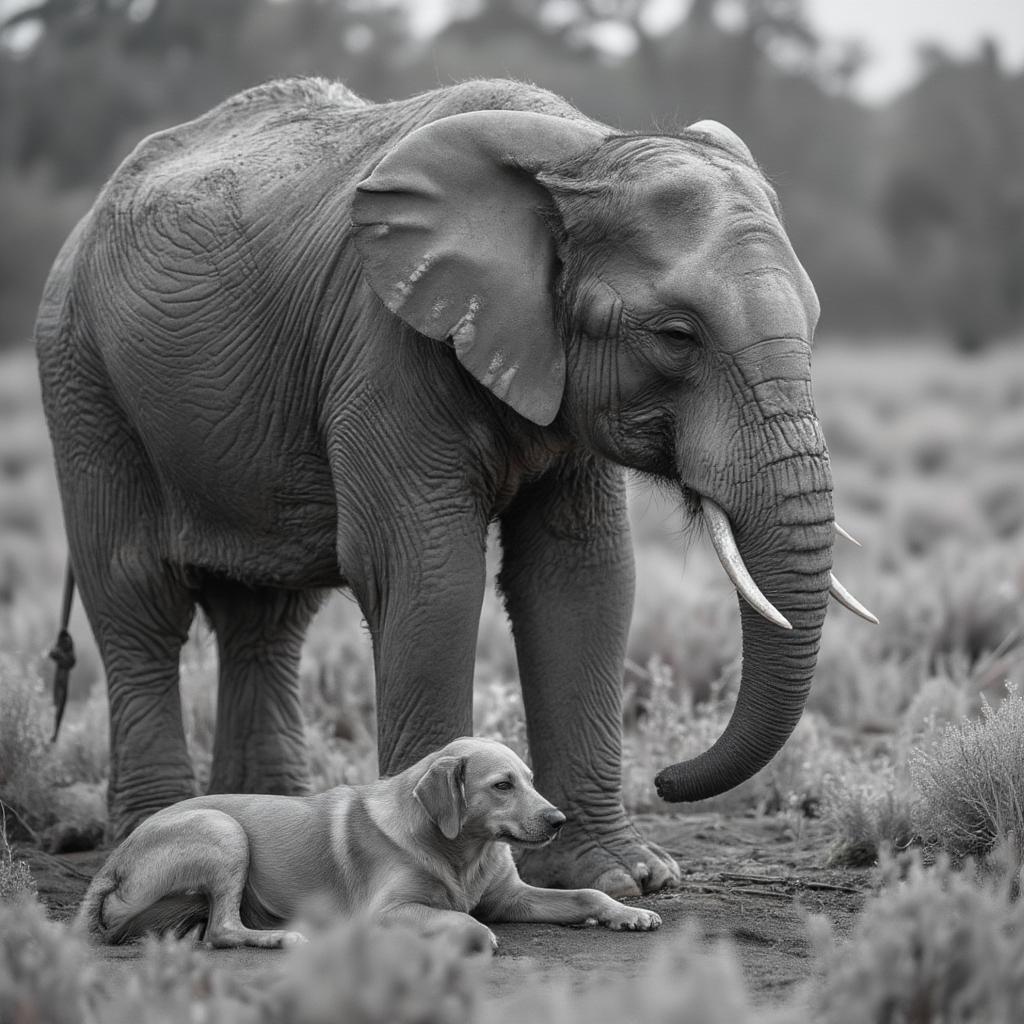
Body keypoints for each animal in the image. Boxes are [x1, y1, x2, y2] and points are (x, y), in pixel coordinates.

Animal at [36, 77, 876, 897]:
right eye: (676, 336)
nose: (668, 779)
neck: (585, 153)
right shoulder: (386, 344)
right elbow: (428, 571)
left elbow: (582, 578)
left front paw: (623, 875)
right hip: (81, 376)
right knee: (137, 597)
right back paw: (157, 822)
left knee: (267, 618)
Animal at [75, 737, 659, 950]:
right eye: (502, 785)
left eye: (531, 780)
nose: (559, 820)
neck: (460, 851)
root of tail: (111, 863)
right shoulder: (388, 911)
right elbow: (463, 919)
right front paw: (473, 936)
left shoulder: (512, 898)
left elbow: (587, 894)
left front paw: (627, 912)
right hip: (223, 831)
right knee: (221, 931)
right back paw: (283, 937)